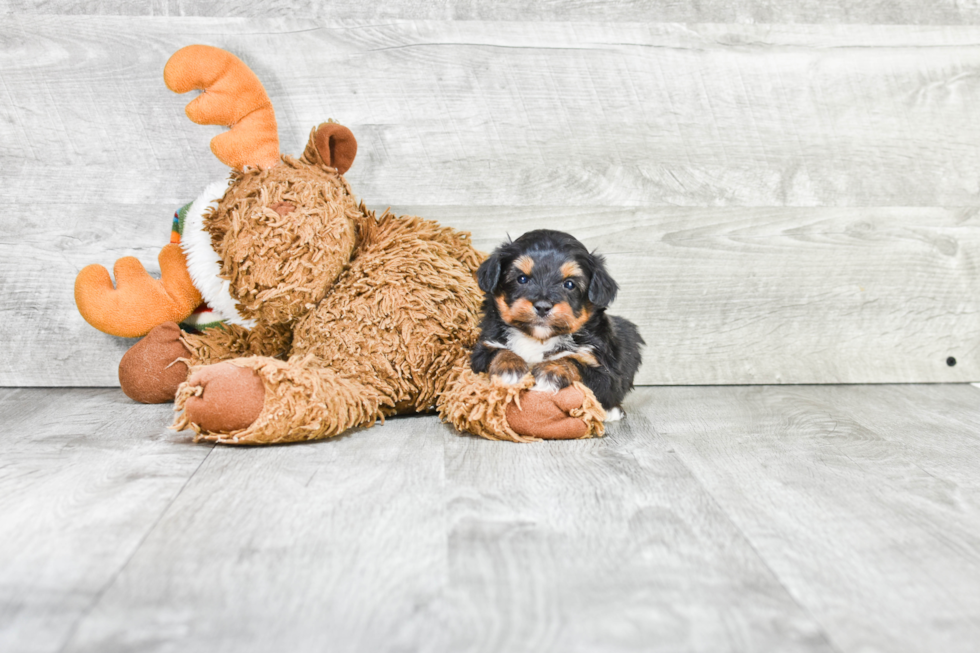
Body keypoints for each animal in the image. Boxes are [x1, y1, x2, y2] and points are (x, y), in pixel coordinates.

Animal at [472, 229, 648, 420]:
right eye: (522, 279)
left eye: (569, 284)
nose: (542, 306)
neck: (539, 338)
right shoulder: (482, 348)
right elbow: (499, 350)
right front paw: (509, 368)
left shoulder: (605, 373)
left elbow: (571, 359)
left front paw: (551, 372)